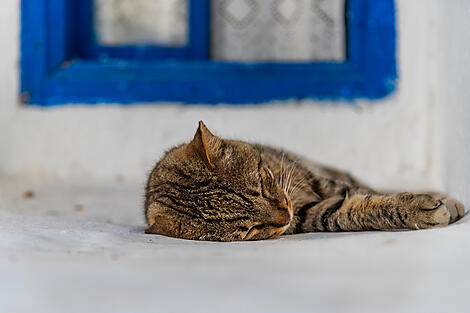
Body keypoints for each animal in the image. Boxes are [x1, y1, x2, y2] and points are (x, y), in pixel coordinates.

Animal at [144, 120, 466, 240]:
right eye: (250, 229)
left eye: (262, 188)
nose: (285, 215)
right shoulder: (311, 214)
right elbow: (350, 210)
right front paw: (417, 210)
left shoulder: (322, 182)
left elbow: (362, 191)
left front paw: (441, 201)